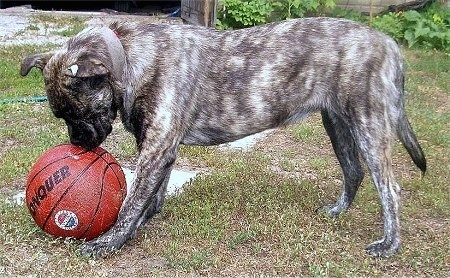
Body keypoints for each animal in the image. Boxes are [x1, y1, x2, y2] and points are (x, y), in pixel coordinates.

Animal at [20, 18, 426, 260]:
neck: (130, 58)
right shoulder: (160, 148)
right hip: (338, 124)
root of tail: (389, 43)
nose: (78, 145)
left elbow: (132, 200)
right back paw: (339, 211)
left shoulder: (157, 147)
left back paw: (389, 244)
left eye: (77, 114)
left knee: (389, 188)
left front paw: (110, 241)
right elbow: (153, 193)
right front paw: (145, 222)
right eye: (61, 116)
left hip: (368, 125)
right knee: (353, 170)